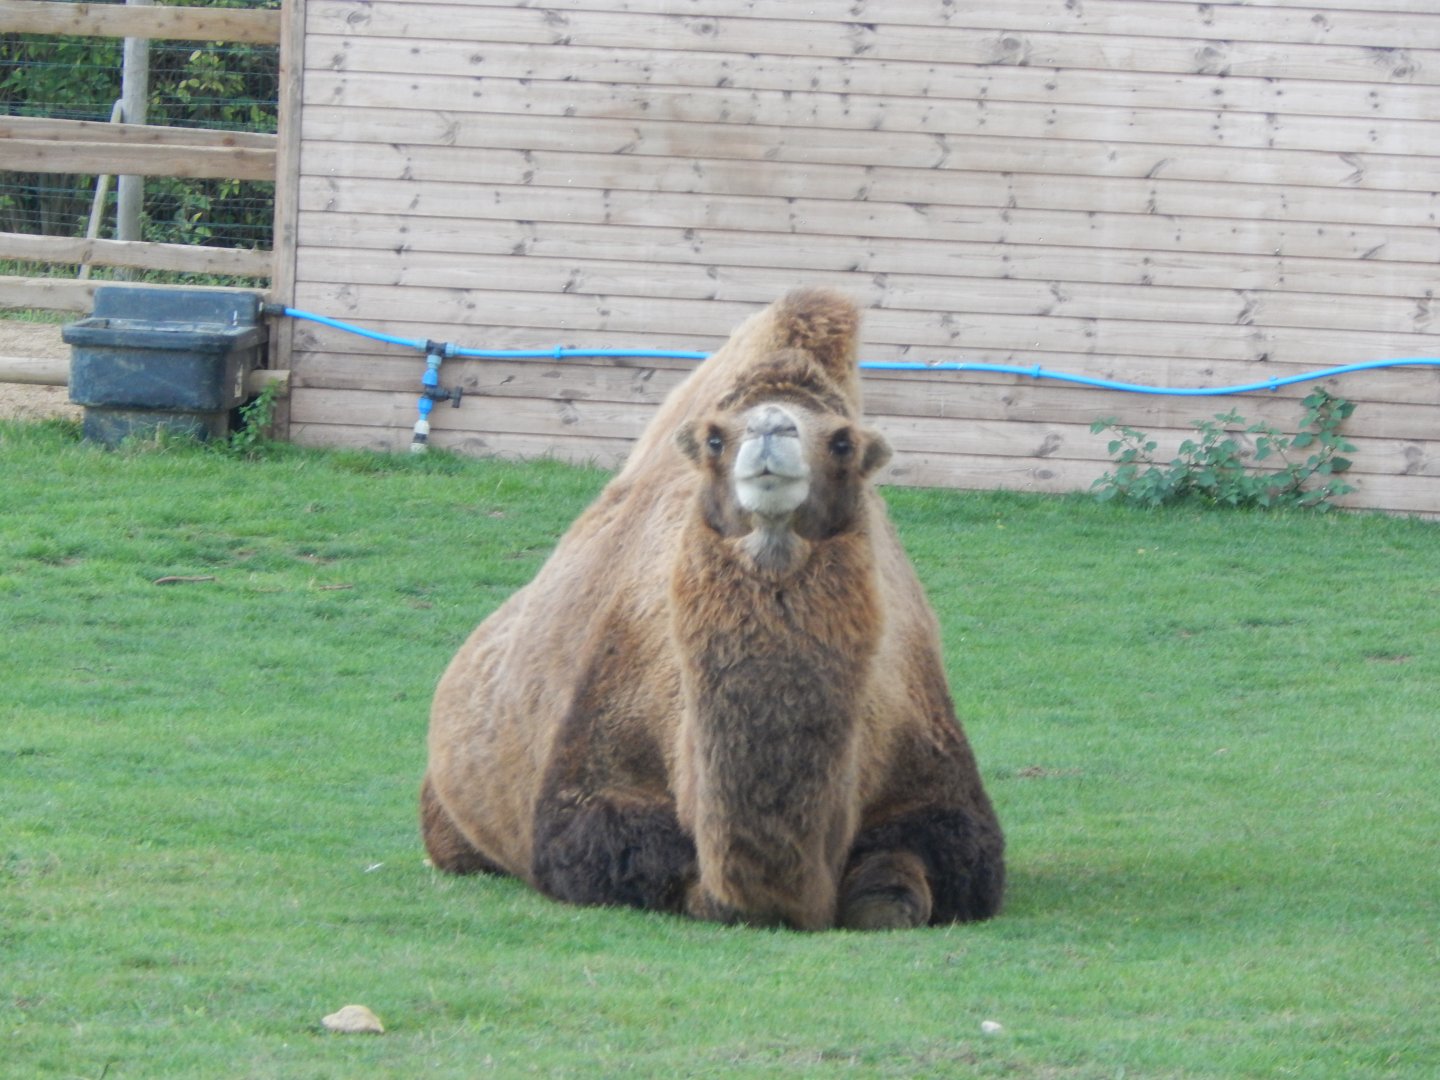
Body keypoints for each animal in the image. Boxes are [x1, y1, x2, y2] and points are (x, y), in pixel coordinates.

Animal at [422, 288, 1004, 929]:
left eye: (842, 441)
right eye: (715, 439)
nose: (772, 427)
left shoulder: (944, 799)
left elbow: (911, 879)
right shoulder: (588, 792)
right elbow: (638, 860)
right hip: (445, 813)